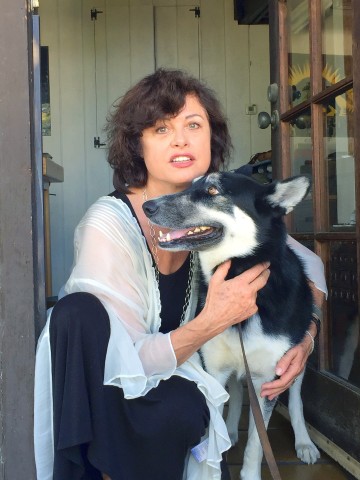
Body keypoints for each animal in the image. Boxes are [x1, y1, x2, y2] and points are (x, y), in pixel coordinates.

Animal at [142, 171, 320, 478]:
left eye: (213, 190)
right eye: (190, 185)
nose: (147, 206)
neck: (237, 271)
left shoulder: (267, 379)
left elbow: (257, 443)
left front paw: (250, 473)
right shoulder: (213, 369)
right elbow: (214, 425)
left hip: (294, 362)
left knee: (295, 397)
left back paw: (304, 442)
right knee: (236, 392)